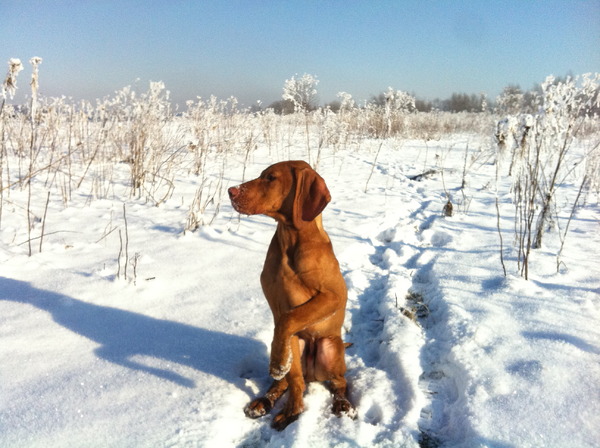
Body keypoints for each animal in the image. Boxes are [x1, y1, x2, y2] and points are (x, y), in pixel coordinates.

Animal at [227, 161, 354, 430]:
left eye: (271, 178)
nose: (231, 191)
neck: (291, 241)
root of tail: (313, 373)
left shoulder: (333, 297)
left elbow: (288, 321)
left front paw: (277, 364)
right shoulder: (279, 310)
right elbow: (283, 334)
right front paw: (290, 405)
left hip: (330, 348)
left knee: (339, 382)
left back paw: (342, 403)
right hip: (299, 344)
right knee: (292, 380)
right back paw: (268, 401)